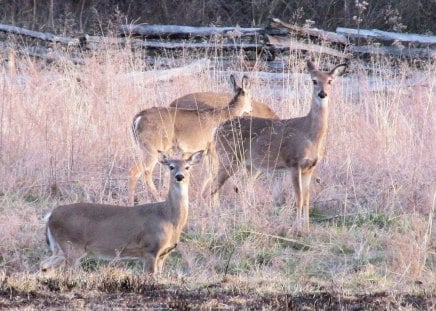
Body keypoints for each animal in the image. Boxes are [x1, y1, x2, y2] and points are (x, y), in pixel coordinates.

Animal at [41, 151, 204, 276]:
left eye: (188, 167)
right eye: (171, 166)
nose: (179, 176)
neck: (169, 218)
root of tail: (51, 215)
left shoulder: (164, 254)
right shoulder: (150, 248)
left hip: (60, 248)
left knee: (44, 265)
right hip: (72, 245)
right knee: (65, 270)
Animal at [129, 73, 252, 205]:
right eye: (251, 97)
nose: (251, 109)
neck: (226, 116)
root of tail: (137, 119)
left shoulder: (206, 149)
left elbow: (208, 173)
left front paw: (200, 198)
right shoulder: (213, 147)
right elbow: (214, 172)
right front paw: (215, 203)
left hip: (148, 148)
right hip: (152, 147)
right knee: (138, 171)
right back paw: (141, 200)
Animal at [210, 60, 348, 234]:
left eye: (330, 81)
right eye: (314, 81)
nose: (322, 94)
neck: (310, 135)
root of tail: (216, 131)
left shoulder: (310, 168)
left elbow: (307, 199)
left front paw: (307, 228)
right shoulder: (293, 163)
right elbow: (299, 198)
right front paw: (296, 229)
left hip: (249, 166)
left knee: (238, 189)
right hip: (229, 158)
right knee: (212, 188)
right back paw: (216, 222)